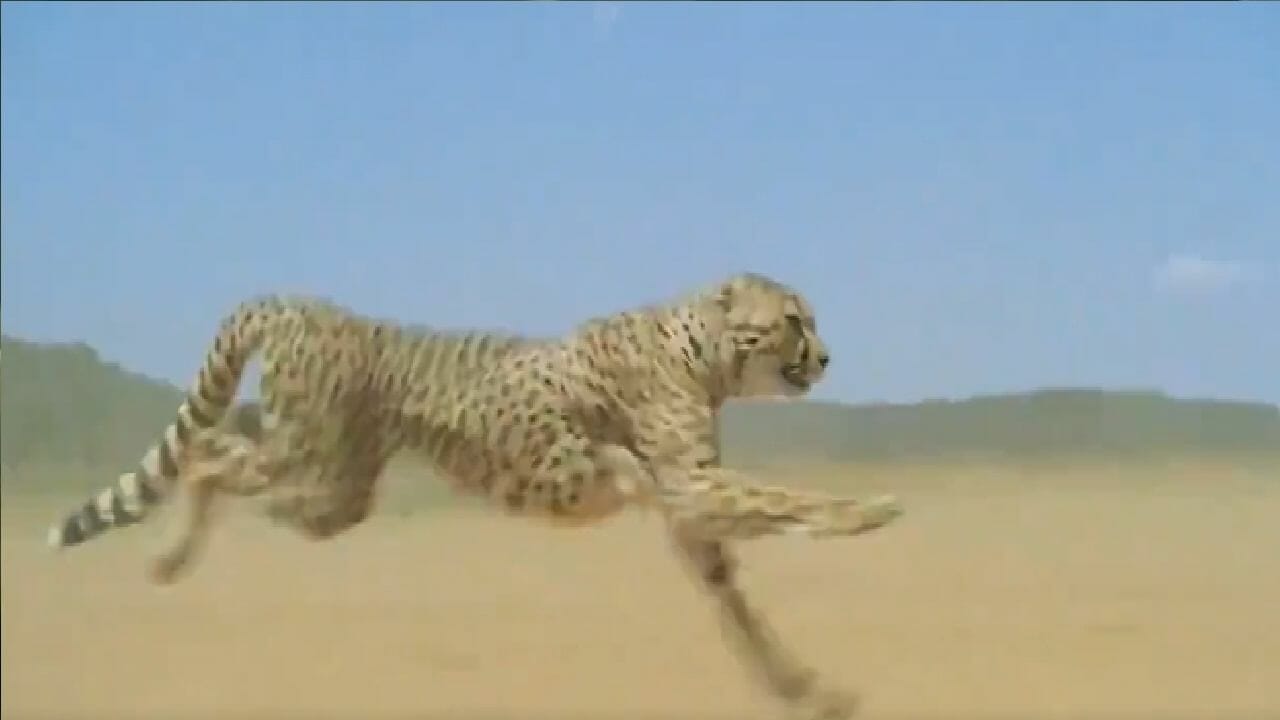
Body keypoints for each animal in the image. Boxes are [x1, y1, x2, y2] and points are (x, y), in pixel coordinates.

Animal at [46, 271, 904, 720]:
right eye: (793, 320)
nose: (826, 357)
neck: (699, 346)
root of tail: (300, 302)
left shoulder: (689, 508)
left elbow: (736, 603)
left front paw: (800, 684)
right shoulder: (689, 484)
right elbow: (786, 500)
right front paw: (868, 512)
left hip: (331, 488)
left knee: (221, 443)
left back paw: (170, 556)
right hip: (311, 467)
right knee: (207, 457)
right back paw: (168, 558)